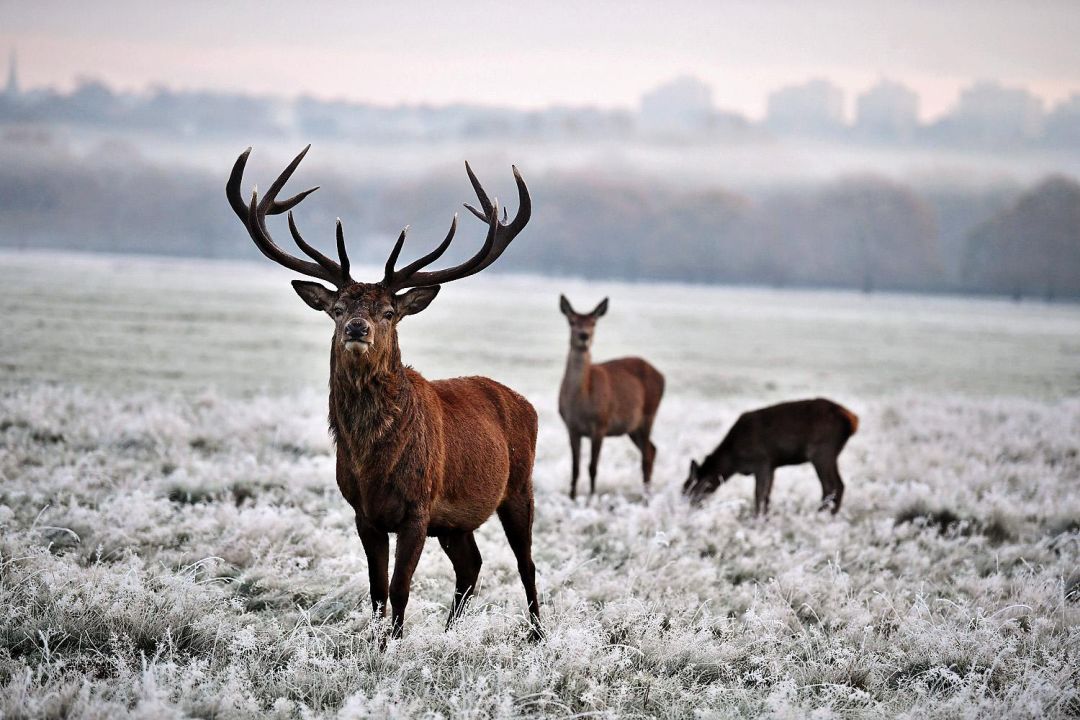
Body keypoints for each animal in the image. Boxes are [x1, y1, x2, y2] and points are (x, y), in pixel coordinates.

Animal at [227, 144, 540, 634]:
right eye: (337, 308)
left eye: (390, 312)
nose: (358, 328)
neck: (373, 460)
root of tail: (526, 404)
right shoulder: (364, 514)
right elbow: (375, 591)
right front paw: (374, 643)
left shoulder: (419, 507)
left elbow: (399, 589)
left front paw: (393, 645)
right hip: (455, 522)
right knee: (471, 566)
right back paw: (449, 633)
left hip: (519, 486)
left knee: (526, 564)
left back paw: (537, 635)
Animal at [561, 295, 660, 498]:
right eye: (571, 321)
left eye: (594, 322)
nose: (584, 336)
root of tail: (662, 376)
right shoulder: (572, 427)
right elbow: (575, 468)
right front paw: (572, 497)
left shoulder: (601, 424)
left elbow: (592, 467)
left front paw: (591, 497)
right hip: (633, 427)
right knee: (652, 449)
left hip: (649, 414)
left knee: (647, 455)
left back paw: (646, 497)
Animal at [682, 397, 859, 515]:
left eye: (689, 491)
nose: (687, 510)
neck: (733, 460)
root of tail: (852, 420)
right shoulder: (772, 465)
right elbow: (767, 496)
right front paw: (765, 518)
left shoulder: (761, 461)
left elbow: (759, 495)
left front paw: (757, 520)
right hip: (830, 454)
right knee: (839, 485)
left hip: (822, 451)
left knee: (831, 486)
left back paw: (821, 516)